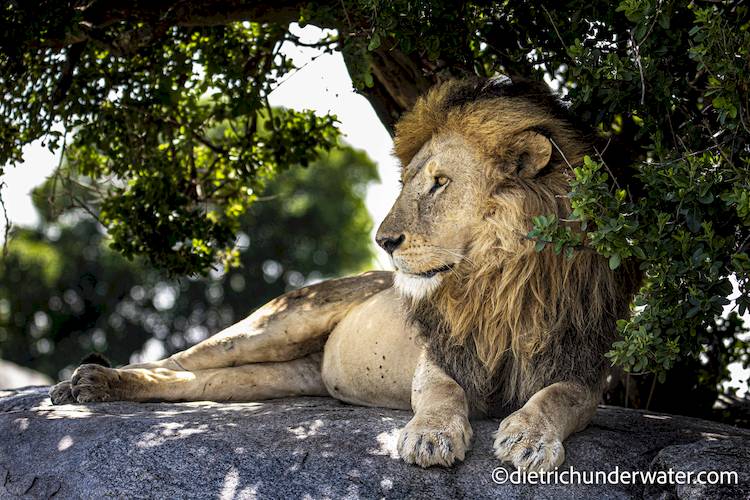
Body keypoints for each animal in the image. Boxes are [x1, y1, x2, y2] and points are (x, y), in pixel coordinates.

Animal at [48, 78, 640, 472]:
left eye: (440, 183)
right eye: (409, 182)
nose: (384, 240)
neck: (500, 283)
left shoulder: (585, 366)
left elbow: (557, 397)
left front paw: (529, 439)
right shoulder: (441, 356)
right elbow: (441, 395)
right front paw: (429, 438)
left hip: (284, 375)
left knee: (195, 384)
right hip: (278, 322)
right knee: (178, 361)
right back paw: (86, 381)